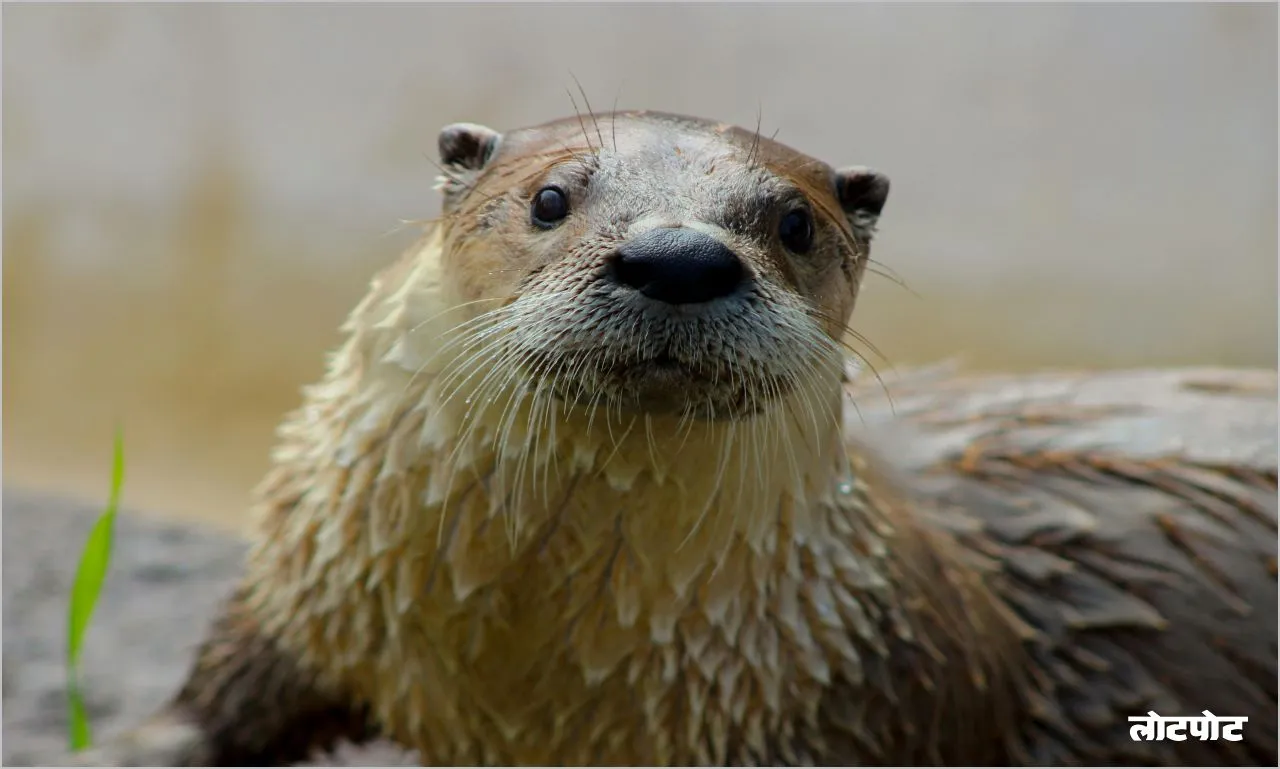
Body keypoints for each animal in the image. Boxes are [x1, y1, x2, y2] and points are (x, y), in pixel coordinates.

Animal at [64, 110, 1274, 762]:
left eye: (794, 222)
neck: (524, 676)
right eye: (551, 198)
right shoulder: (321, 575)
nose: (679, 256)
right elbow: (233, 680)